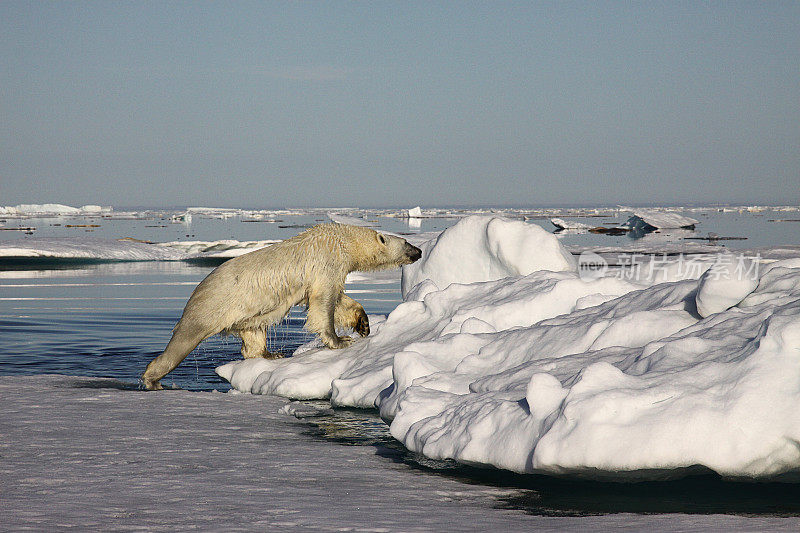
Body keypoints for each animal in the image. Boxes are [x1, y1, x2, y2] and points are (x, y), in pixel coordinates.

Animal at [141, 222, 422, 388]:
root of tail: (198, 290)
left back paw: (269, 353)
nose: (419, 251)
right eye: (406, 243)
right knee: (183, 341)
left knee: (254, 332)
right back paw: (152, 379)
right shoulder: (326, 262)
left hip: (246, 312)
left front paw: (363, 324)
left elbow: (339, 300)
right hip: (213, 305)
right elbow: (324, 302)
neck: (343, 240)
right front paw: (340, 340)